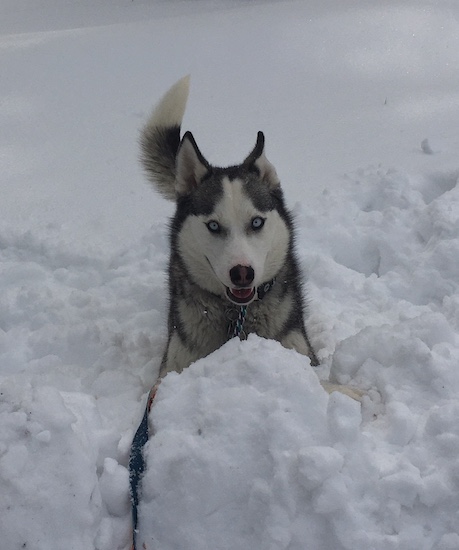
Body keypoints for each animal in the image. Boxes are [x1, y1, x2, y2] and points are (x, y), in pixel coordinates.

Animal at [140, 77, 348, 396]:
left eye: (257, 222)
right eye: (213, 226)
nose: (242, 273)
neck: (236, 317)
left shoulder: (299, 350)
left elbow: (326, 385)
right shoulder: (170, 370)